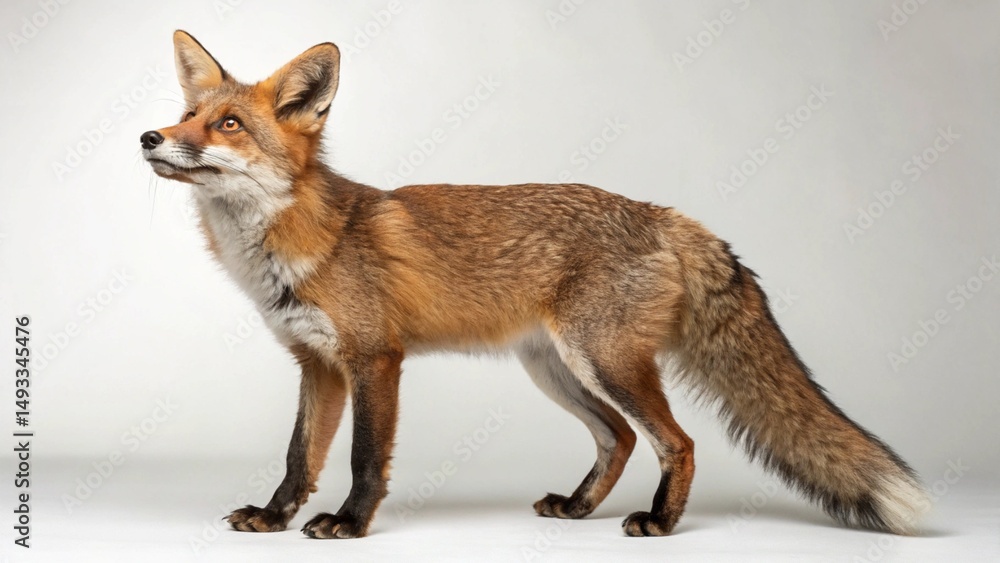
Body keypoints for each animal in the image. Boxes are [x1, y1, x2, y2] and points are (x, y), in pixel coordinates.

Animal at [141, 30, 928, 539]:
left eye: (229, 124)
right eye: (186, 116)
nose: (150, 136)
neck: (298, 241)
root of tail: (665, 214)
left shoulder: (374, 359)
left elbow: (365, 457)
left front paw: (350, 522)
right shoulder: (317, 364)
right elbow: (298, 456)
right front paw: (275, 517)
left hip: (605, 361)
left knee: (676, 441)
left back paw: (660, 521)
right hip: (557, 370)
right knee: (620, 438)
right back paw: (579, 508)